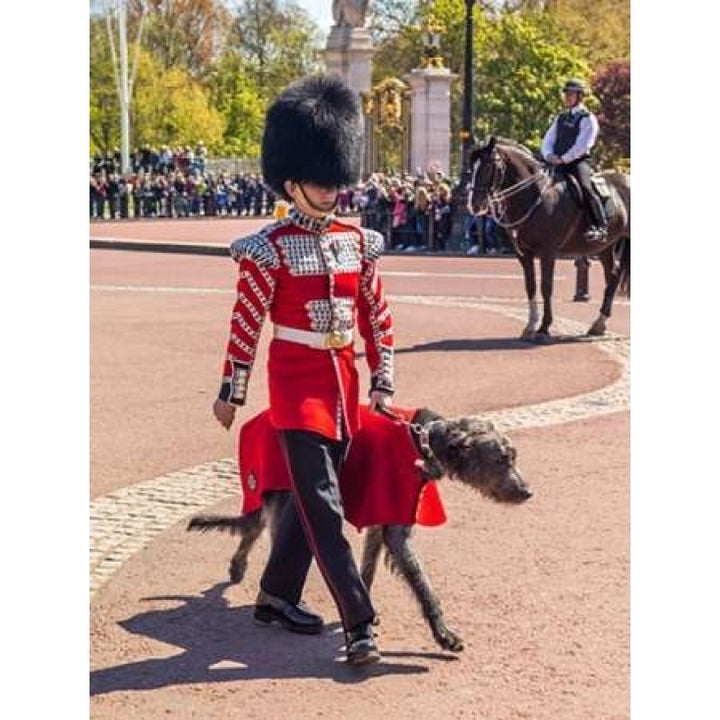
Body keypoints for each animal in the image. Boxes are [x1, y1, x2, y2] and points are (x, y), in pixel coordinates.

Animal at [188, 410, 532, 652]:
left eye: (513, 457)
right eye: (501, 459)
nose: (528, 492)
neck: (422, 445)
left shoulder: (380, 520)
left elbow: (367, 568)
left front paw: (366, 610)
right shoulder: (396, 530)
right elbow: (423, 585)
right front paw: (443, 634)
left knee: (256, 527)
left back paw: (240, 568)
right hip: (288, 491)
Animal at [466, 138, 632, 340]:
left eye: (490, 166)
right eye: (472, 167)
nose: (475, 205)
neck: (535, 196)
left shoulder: (548, 252)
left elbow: (546, 287)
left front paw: (544, 327)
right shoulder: (524, 255)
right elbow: (530, 286)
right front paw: (530, 326)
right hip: (604, 247)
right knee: (613, 277)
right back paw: (599, 324)